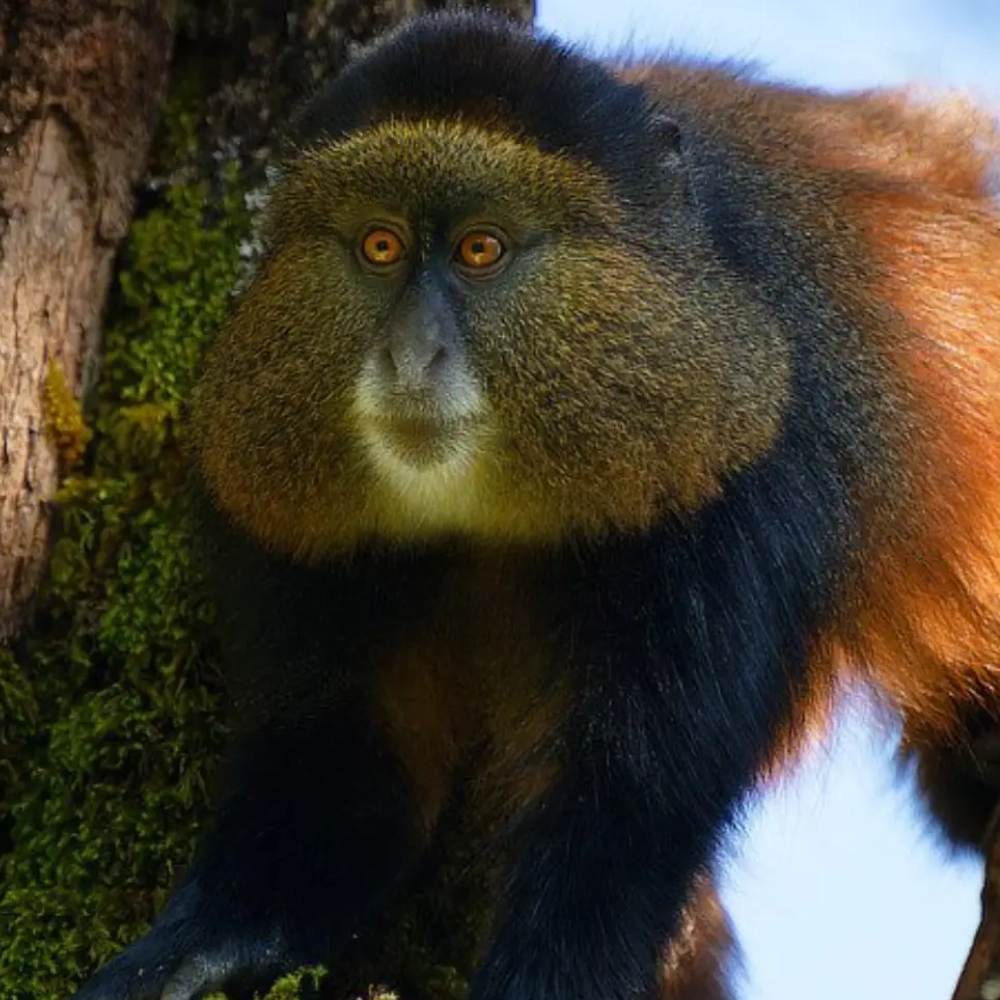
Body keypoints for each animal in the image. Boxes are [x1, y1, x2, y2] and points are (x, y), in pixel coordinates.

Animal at [68, 10, 1000, 1000]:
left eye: (481, 250)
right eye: (380, 247)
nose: (411, 355)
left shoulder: (732, 506)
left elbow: (621, 819)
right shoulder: (312, 544)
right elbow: (349, 788)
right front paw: (194, 951)